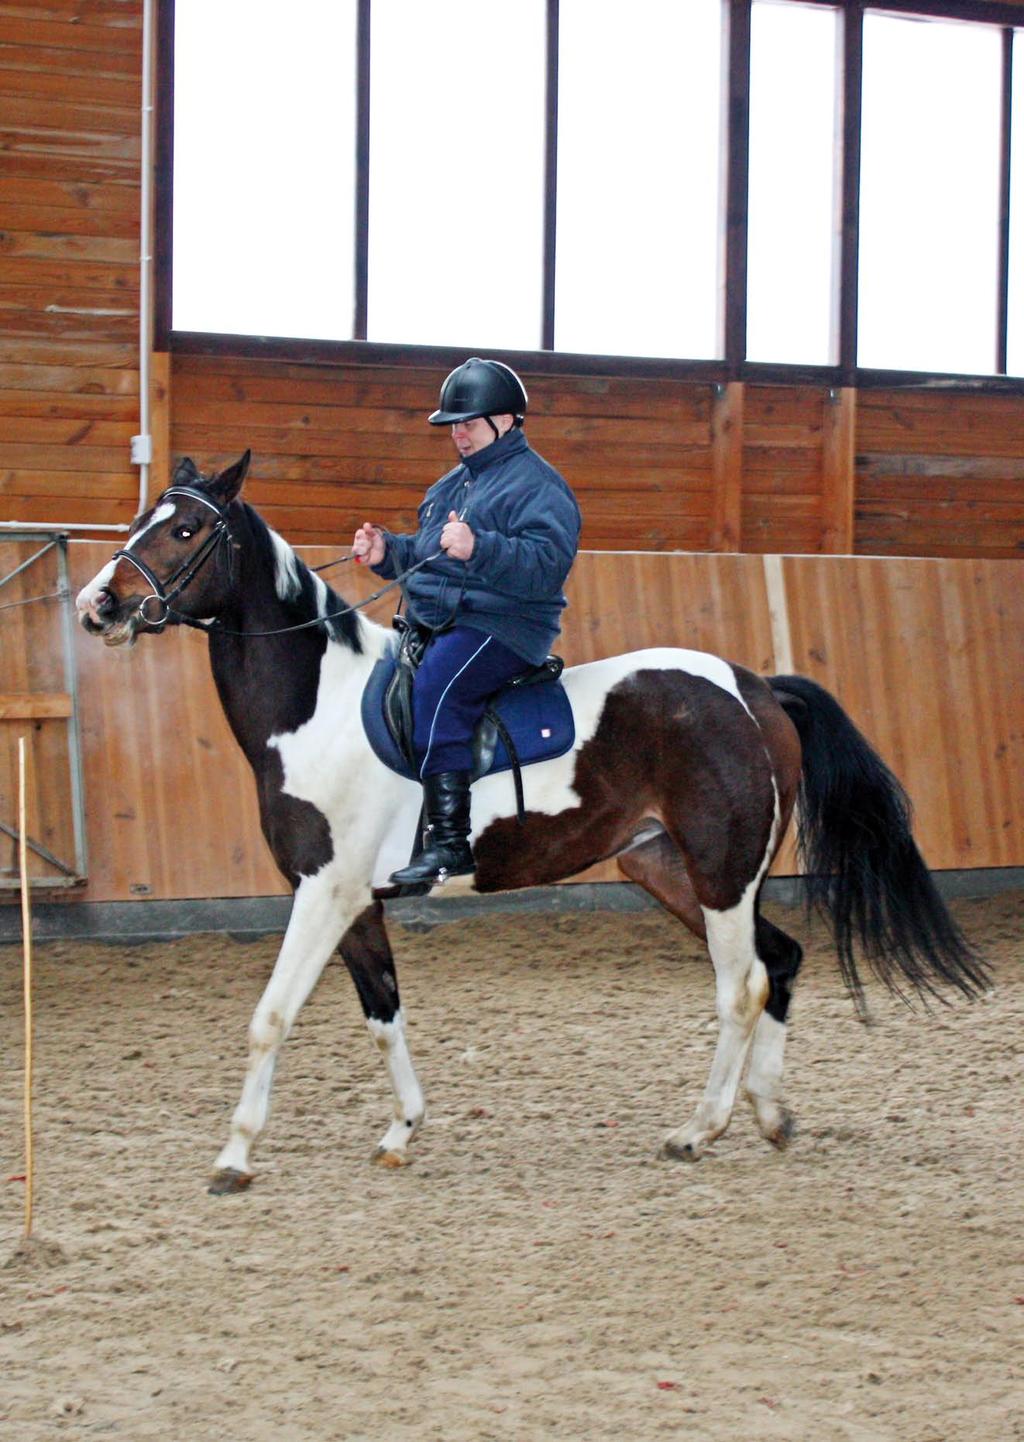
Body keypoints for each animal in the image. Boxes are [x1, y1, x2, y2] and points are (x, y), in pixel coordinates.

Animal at [76, 452, 992, 1193]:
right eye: (143, 517)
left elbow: (271, 1017)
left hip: (721, 877)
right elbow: (384, 1015)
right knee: (783, 960)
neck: (319, 707)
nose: (99, 604)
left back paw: (698, 1131)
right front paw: (402, 1130)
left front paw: (234, 1157)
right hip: (673, 873)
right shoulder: (358, 902)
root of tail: (756, 687)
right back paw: (770, 1114)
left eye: (186, 527)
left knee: (743, 987)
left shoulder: (323, 893)